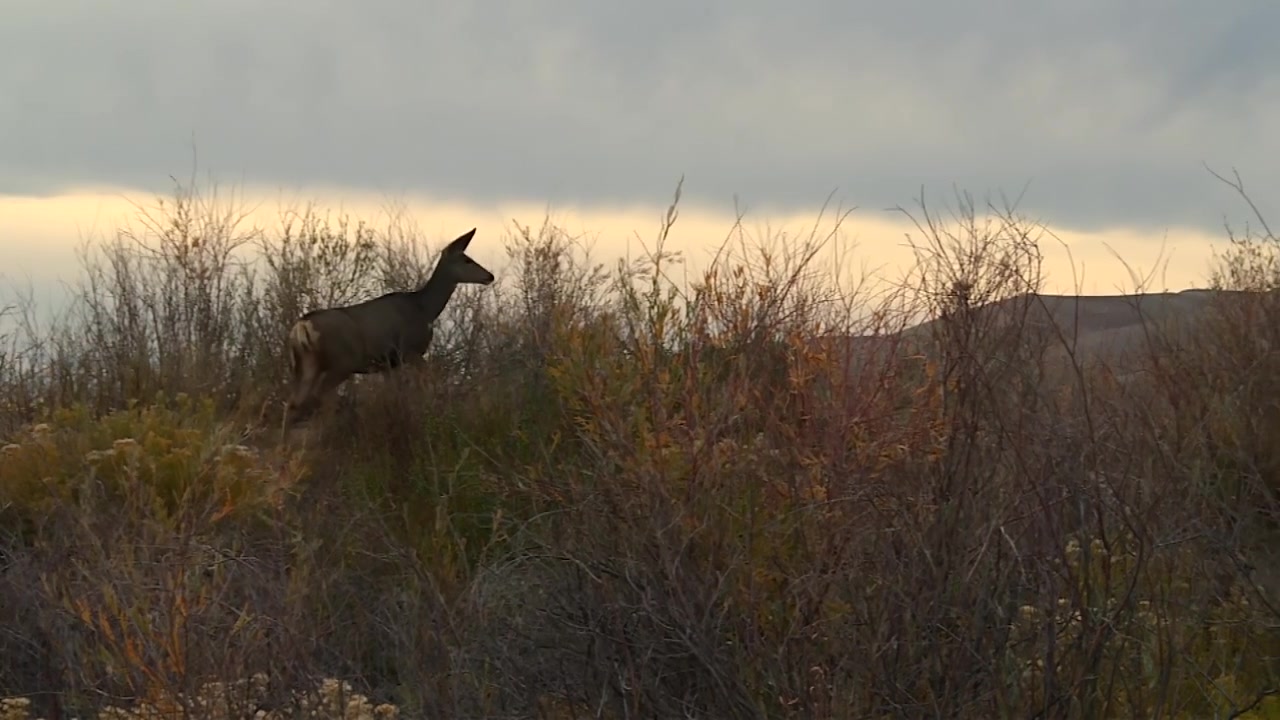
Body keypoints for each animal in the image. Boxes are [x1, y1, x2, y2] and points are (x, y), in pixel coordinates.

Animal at [283, 228, 495, 426]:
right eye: (466, 260)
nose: (490, 276)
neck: (424, 309)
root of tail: (301, 327)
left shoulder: (388, 363)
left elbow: (394, 394)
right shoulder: (410, 351)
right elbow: (425, 383)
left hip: (305, 364)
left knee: (294, 403)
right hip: (341, 362)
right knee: (315, 400)